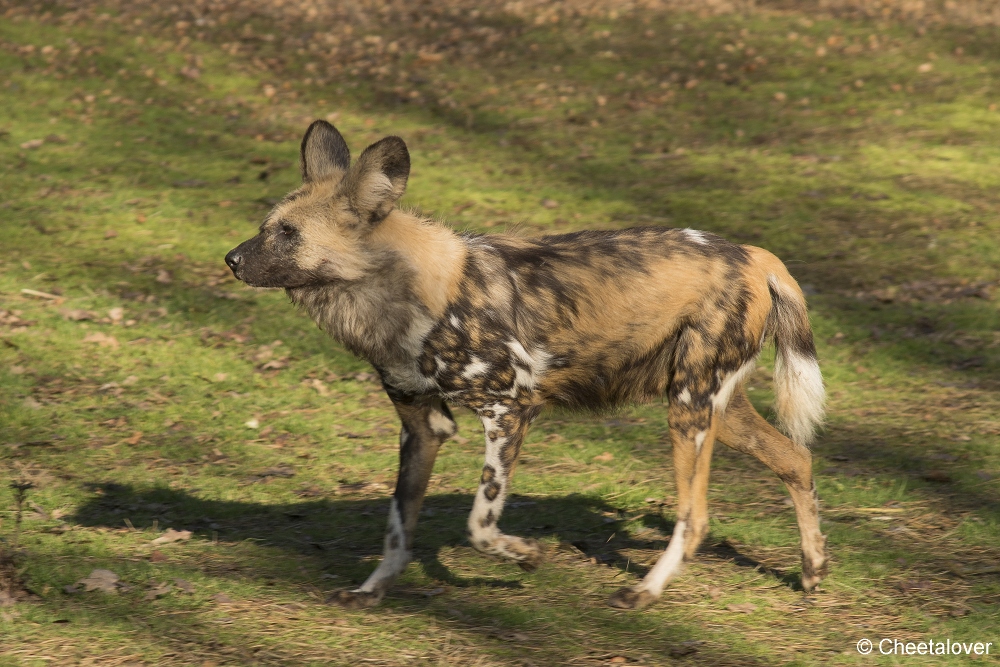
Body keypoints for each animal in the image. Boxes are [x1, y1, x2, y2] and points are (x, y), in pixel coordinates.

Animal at [227, 120, 828, 612]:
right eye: (265, 226)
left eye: (288, 235)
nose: (230, 259)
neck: (398, 295)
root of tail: (753, 254)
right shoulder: (422, 426)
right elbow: (398, 529)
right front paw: (371, 591)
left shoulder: (509, 409)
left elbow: (480, 524)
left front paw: (525, 555)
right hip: (712, 407)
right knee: (796, 459)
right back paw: (813, 570)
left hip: (689, 411)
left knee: (695, 516)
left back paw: (643, 593)